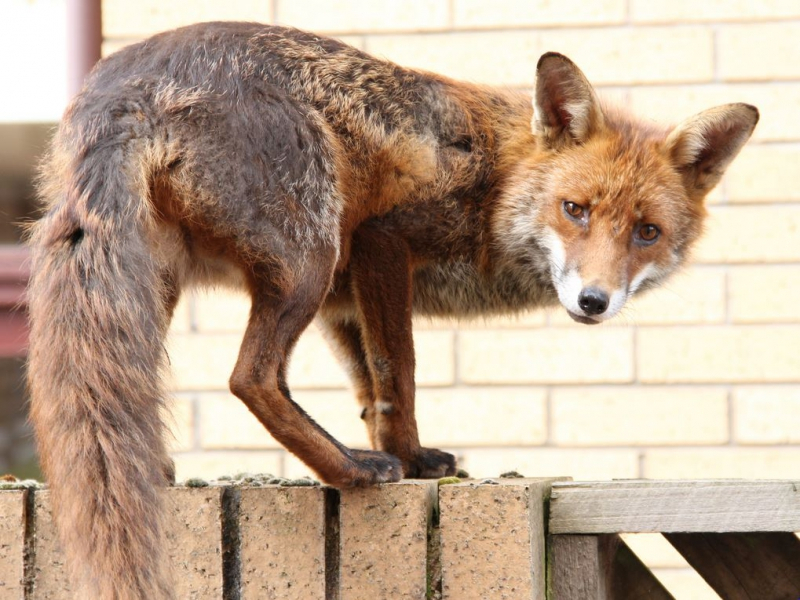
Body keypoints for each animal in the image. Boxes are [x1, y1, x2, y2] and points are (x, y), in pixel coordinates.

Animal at [28, 21, 760, 596]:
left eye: (646, 232)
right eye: (574, 209)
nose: (593, 300)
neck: (495, 183)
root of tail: (122, 81)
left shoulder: (345, 300)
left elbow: (369, 390)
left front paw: (404, 454)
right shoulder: (381, 245)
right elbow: (398, 376)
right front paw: (404, 458)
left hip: (163, 278)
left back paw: (160, 468)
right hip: (306, 258)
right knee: (249, 377)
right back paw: (350, 471)